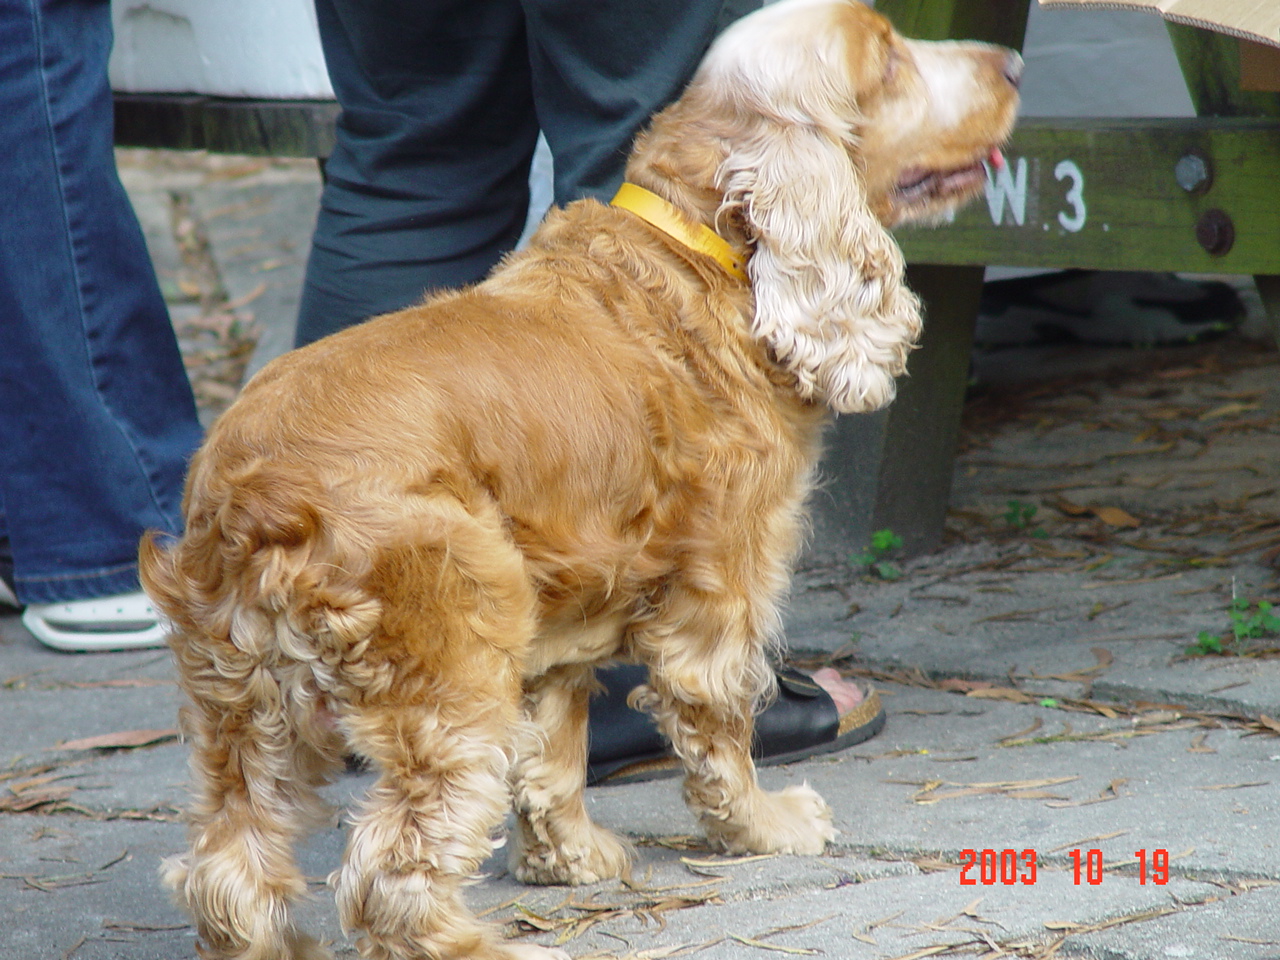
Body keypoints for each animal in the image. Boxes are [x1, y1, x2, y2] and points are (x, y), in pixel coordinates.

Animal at [140, 2, 1020, 957]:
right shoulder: (723, 593)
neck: (700, 247)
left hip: (245, 696)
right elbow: (721, 730)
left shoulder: (565, 610)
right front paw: (767, 827)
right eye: (889, 59)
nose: (1013, 63)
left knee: (231, 864)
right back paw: (484, 943)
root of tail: (247, 494)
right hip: (450, 656)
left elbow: (553, 753)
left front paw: (569, 858)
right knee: (392, 869)